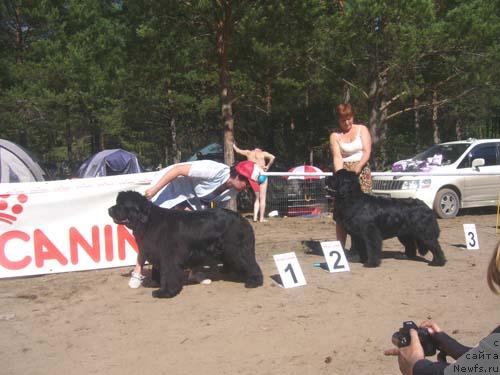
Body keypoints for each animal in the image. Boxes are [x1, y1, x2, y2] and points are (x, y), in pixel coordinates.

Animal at [108, 192, 264, 298]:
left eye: (122, 205)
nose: (109, 209)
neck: (148, 221)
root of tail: (242, 218)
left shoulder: (168, 257)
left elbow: (169, 273)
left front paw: (165, 292)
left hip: (237, 249)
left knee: (250, 263)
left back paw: (254, 281)